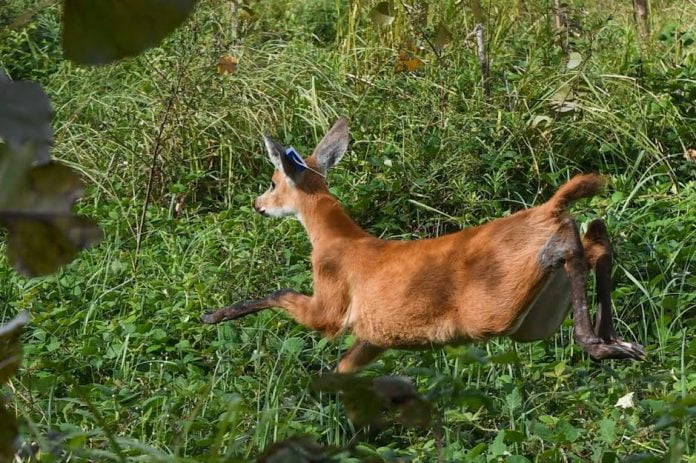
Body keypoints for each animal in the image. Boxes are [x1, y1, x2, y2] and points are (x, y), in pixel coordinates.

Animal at [201, 118, 648, 372]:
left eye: (272, 181)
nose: (257, 204)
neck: (338, 239)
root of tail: (548, 207)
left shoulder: (330, 308)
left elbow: (280, 293)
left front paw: (213, 315)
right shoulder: (375, 337)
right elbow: (343, 369)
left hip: (496, 308)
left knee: (569, 242)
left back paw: (599, 344)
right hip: (537, 317)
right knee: (595, 235)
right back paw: (618, 341)